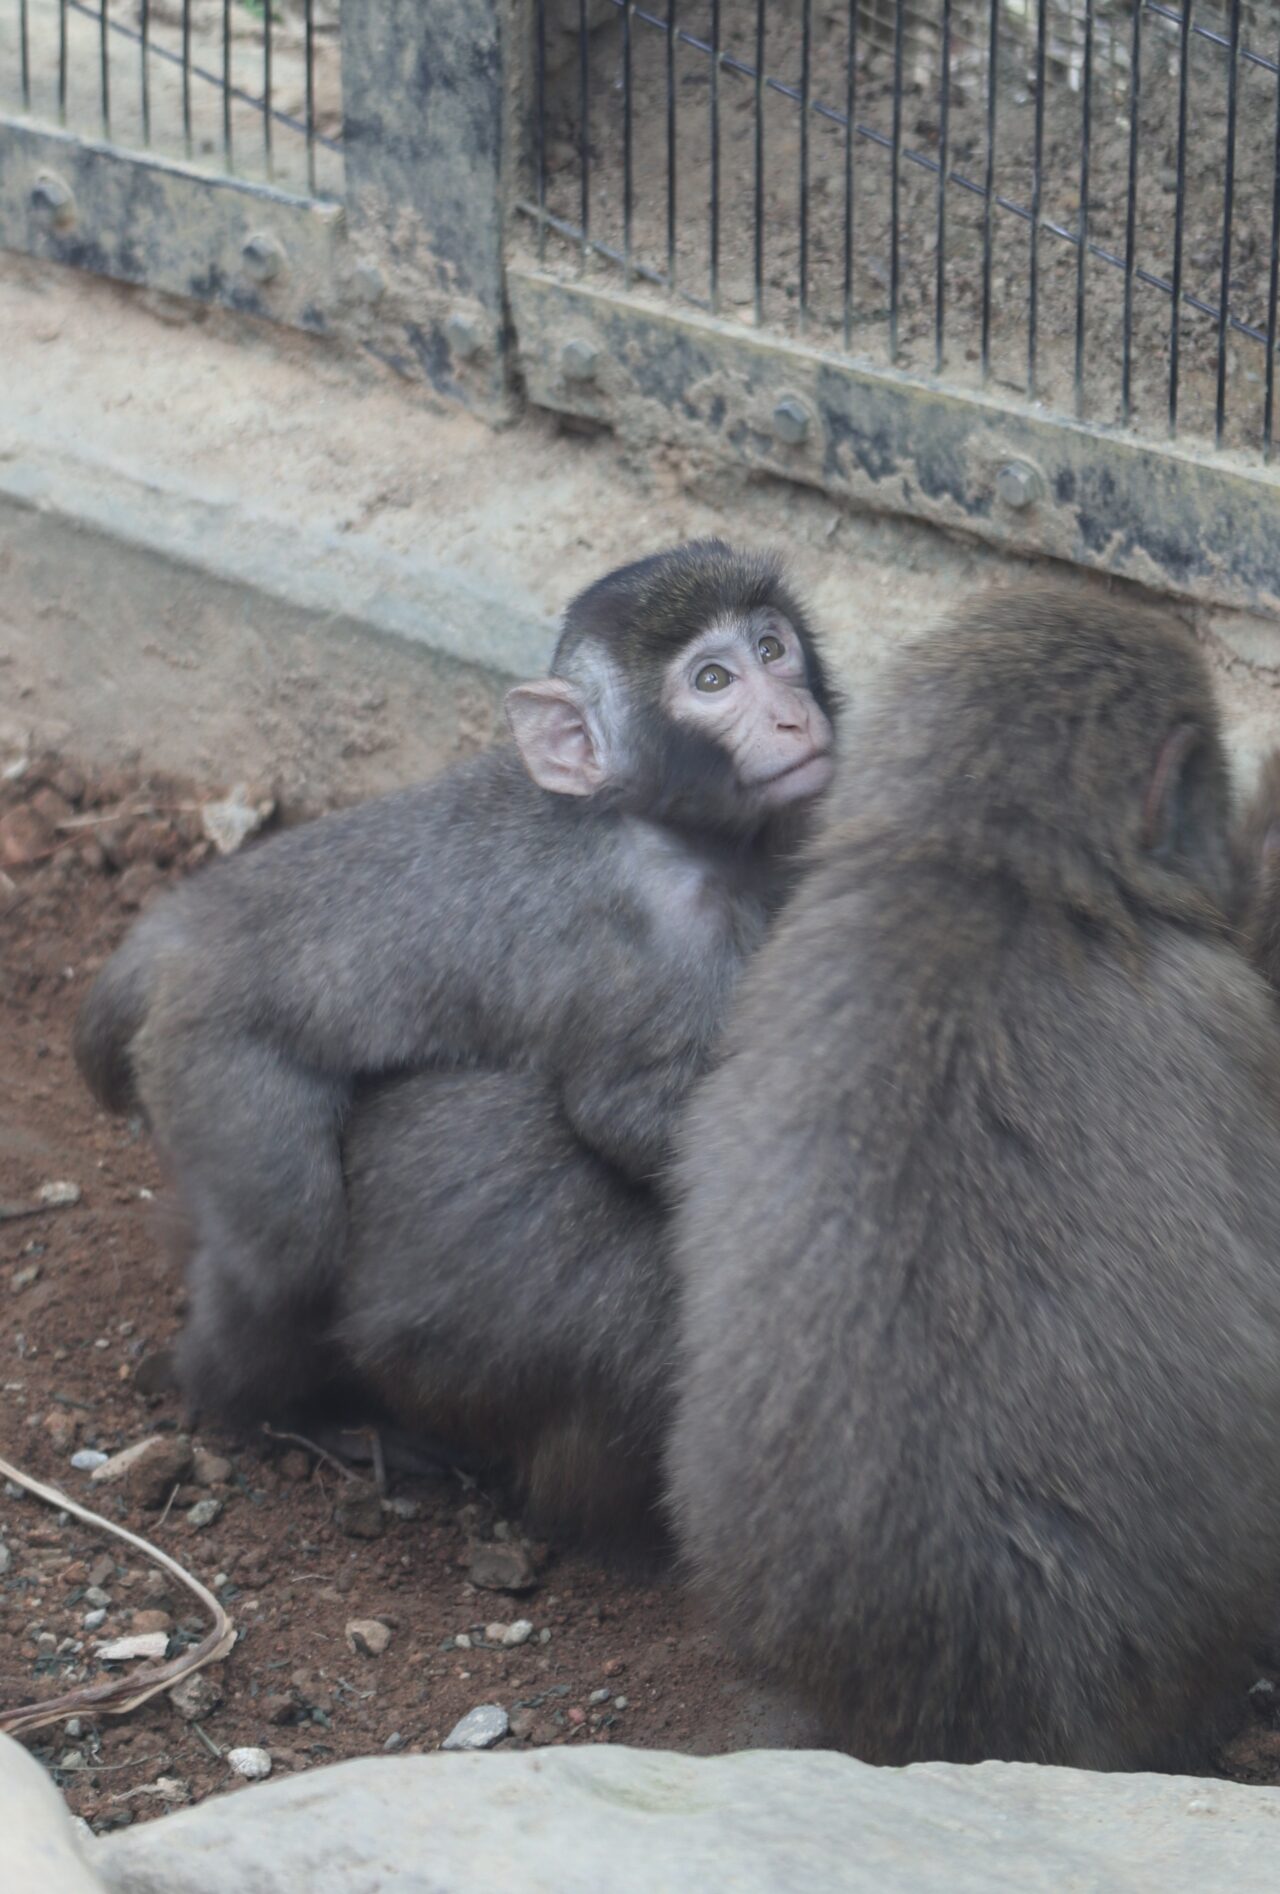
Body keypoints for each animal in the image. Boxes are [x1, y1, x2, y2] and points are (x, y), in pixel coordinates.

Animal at [80, 541, 840, 1469]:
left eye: (772, 648)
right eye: (712, 681)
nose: (793, 718)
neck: (654, 824)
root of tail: (178, 930)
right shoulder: (656, 945)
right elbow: (626, 1116)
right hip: (212, 1062)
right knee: (284, 1254)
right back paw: (251, 1403)